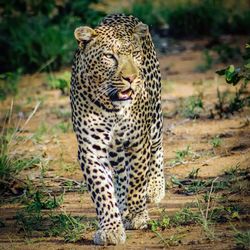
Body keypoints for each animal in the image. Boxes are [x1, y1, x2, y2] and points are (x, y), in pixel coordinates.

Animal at [69, 12, 165, 245]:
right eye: (109, 56)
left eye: (135, 54)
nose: (131, 78)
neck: (113, 107)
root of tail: (120, 14)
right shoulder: (91, 149)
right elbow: (102, 190)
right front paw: (111, 228)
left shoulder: (138, 142)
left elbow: (138, 180)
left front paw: (137, 215)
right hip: (115, 148)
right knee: (121, 172)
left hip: (155, 117)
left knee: (157, 147)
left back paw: (155, 187)